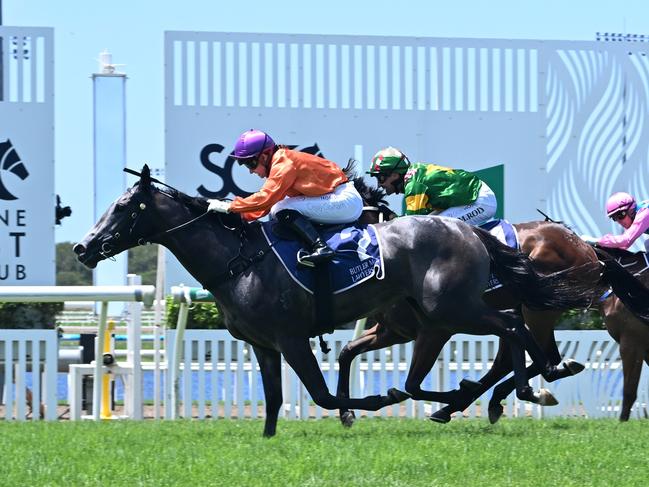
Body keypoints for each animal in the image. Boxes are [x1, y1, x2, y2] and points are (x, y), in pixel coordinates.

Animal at [74, 167, 596, 438]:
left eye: (126, 207)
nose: (83, 247)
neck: (239, 259)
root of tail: (468, 231)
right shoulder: (264, 344)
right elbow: (276, 398)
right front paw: (268, 440)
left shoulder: (291, 337)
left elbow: (324, 394)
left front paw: (370, 402)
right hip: (445, 314)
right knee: (511, 334)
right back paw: (506, 390)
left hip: (453, 310)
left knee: (511, 327)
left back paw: (526, 387)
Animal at [340, 180, 648, 428]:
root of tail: (585, 247)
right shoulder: (394, 331)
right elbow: (351, 351)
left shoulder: (433, 330)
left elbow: (411, 382)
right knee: (514, 357)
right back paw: (474, 403)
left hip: (537, 309)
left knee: (536, 355)